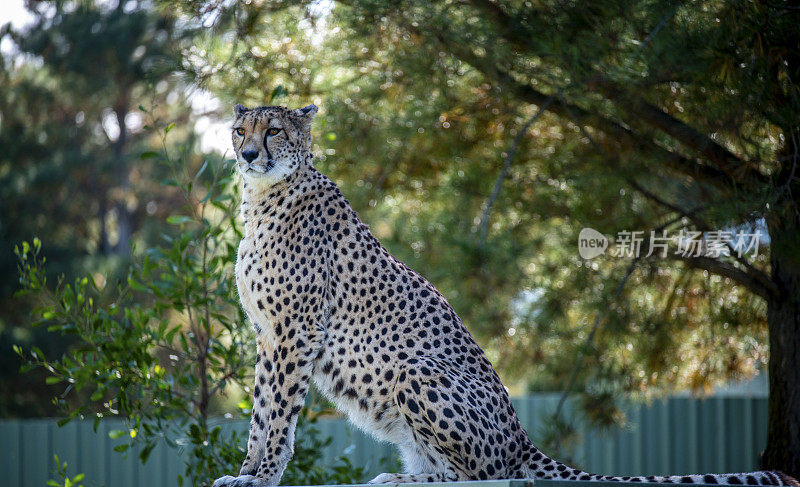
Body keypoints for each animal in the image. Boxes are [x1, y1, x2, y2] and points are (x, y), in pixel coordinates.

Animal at [212, 104, 800, 487]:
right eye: (241, 129)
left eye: (274, 130)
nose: (248, 153)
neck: (263, 198)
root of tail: (521, 436)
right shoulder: (268, 337)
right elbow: (261, 411)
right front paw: (244, 472)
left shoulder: (295, 332)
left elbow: (280, 415)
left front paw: (263, 476)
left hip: (416, 371)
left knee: (479, 475)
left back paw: (404, 481)